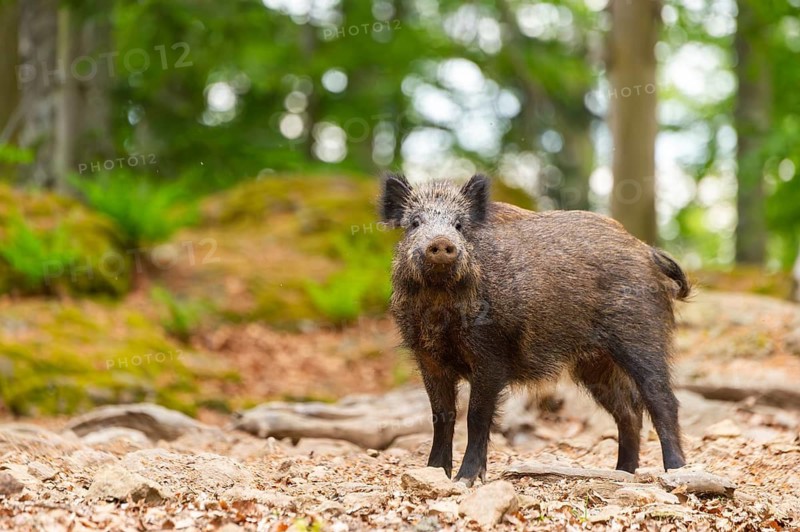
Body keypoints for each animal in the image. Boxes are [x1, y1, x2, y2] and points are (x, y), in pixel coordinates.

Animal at [379, 173, 690, 486]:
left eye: (459, 225)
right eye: (415, 222)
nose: (441, 242)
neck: (440, 303)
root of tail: (647, 251)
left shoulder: (492, 356)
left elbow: (476, 416)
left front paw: (464, 480)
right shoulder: (428, 358)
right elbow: (442, 415)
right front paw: (434, 472)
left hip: (641, 337)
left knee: (662, 401)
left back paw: (675, 471)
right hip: (595, 364)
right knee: (629, 411)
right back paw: (621, 472)